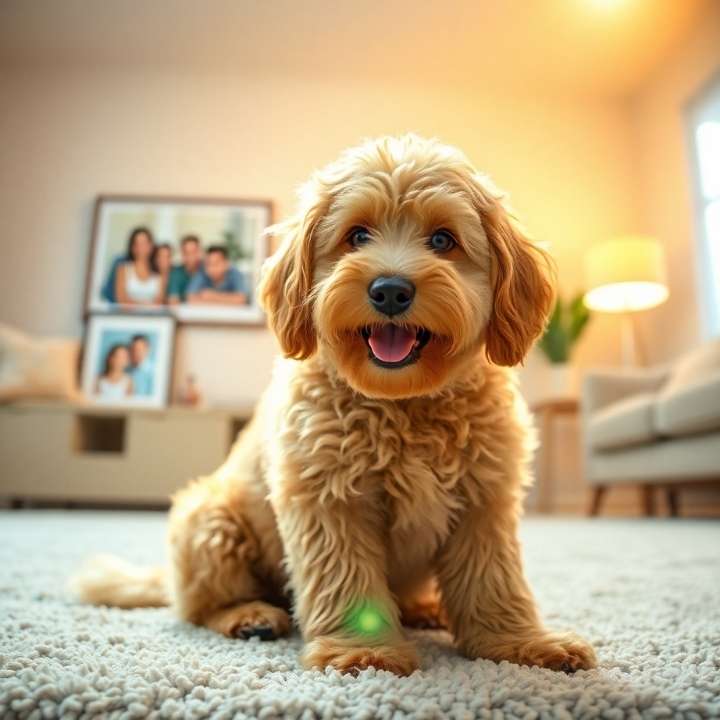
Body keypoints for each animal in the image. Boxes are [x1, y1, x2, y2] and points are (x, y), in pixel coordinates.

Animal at [73, 134, 596, 676]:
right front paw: (363, 649)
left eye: (443, 240)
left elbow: (494, 581)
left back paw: (426, 609)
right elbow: (346, 578)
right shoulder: (328, 499)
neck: (403, 404)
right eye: (357, 235)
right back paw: (249, 615)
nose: (390, 290)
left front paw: (519, 643)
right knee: (200, 607)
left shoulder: (483, 501)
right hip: (208, 519)